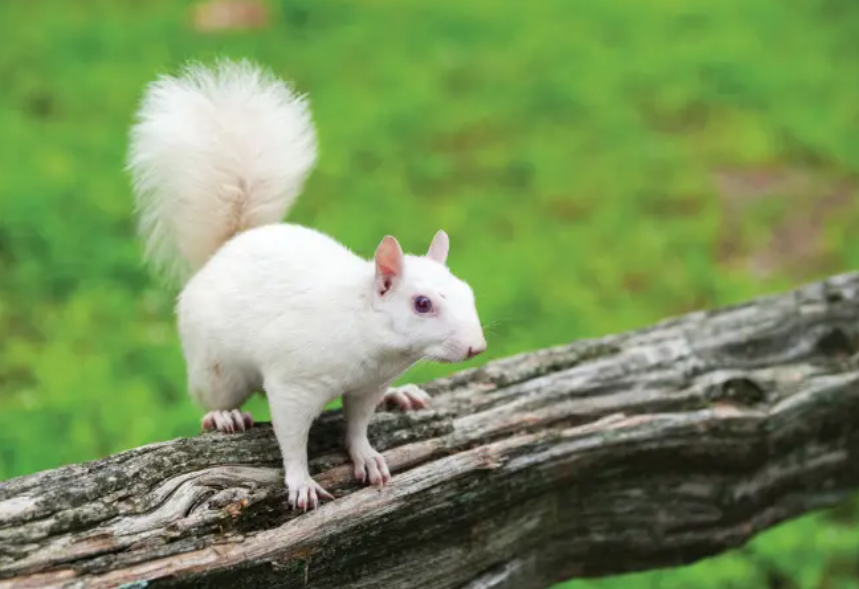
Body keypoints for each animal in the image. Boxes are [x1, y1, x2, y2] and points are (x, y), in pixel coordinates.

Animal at [126, 58, 487, 510]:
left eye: (468, 291)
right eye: (422, 304)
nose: (477, 346)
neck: (371, 341)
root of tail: (226, 248)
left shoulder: (368, 385)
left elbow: (357, 425)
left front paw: (367, 457)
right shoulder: (293, 384)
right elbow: (292, 438)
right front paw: (301, 483)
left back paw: (401, 394)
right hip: (215, 366)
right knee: (210, 399)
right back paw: (225, 415)